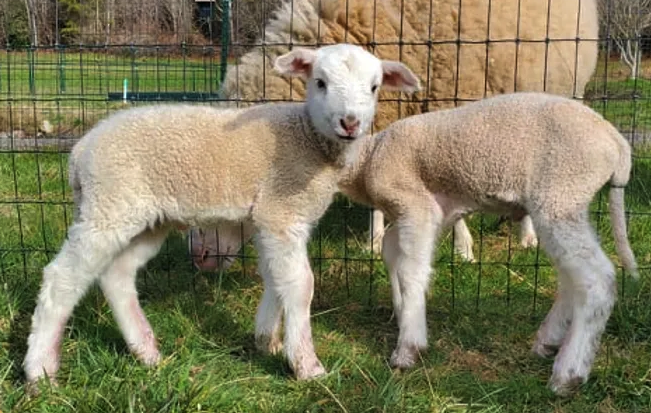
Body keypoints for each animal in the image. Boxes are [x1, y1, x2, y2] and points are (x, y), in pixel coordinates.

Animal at [22, 43, 420, 384]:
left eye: (374, 87)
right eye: (319, 82)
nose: (350, 123)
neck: (308, 138)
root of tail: (79, 153)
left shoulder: (267, 220)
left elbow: (275, 278)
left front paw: (267, 341)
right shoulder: (281, 211)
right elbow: (299, 285)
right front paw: (306, 365)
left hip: (144, 217)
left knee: (116, 275)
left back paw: (146, 352)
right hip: (109, 204)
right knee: (61, 278)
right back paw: (39, 371)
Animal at [338, 92, 640, 396]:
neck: (369, 156)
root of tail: (616, 142)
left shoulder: (416, 206)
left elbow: (410, 271)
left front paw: (408, 346)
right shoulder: (431, 211)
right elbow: (392, 253)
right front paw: (402, 312)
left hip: (562, 193)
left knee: (597, 279)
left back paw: (568, 373)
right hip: (564, 204)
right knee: (572, 277)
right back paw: (549, 340)